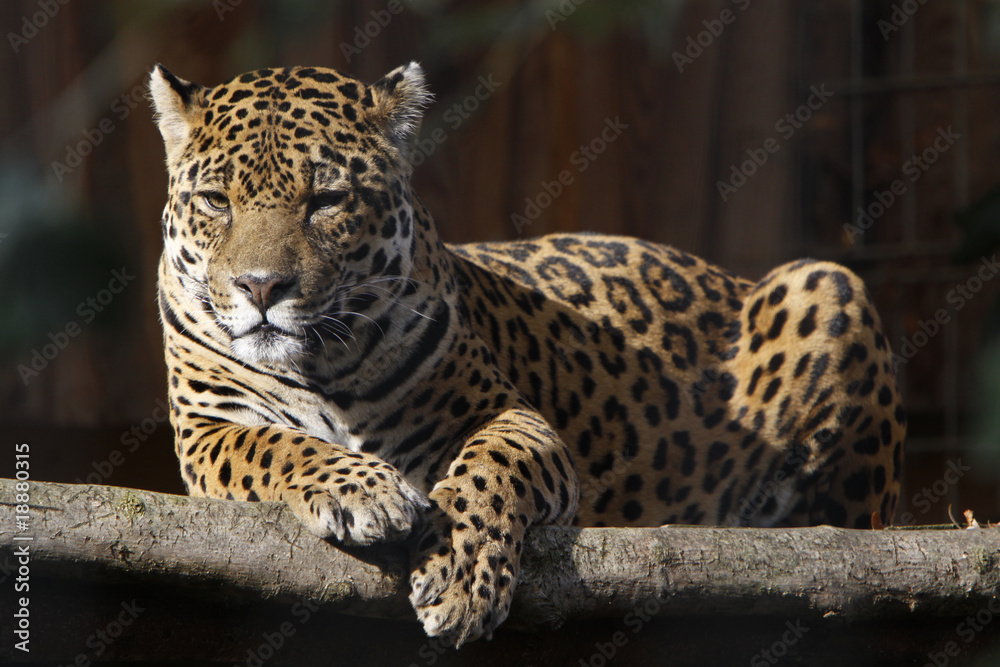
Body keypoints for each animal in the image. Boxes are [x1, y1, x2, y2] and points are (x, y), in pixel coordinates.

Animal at [148, 61, 905, 646]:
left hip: (825, 286)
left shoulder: (505, 412)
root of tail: (729, 276)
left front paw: (459, 573)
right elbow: (277, 445)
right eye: (215, 200)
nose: (260, 287)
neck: (322, 364)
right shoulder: (207, 429)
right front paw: (361, 488)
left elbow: (493, 465)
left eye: (328, 199)